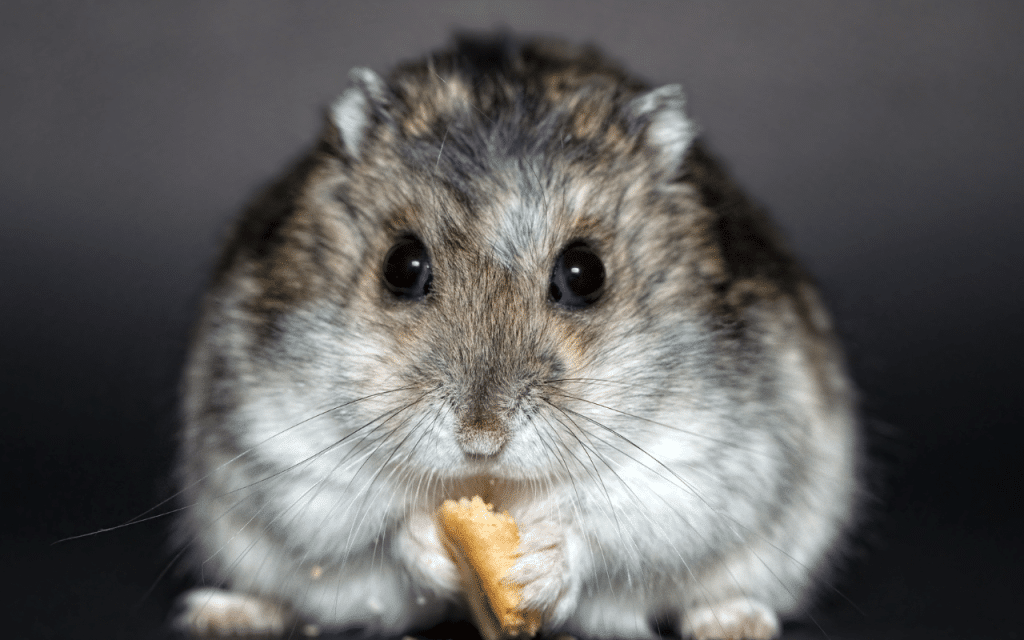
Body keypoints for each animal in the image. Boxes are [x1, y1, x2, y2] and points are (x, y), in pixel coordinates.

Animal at [173, 35, 860, 640]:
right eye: (401, 266)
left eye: (585, 273)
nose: (481, 440)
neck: (494, 485)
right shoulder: (283, 448)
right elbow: (373, 524)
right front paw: (432, 543)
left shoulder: (703, 460)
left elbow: (611, 526)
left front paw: (537, 565)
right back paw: (223, 613)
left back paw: (734, 621)